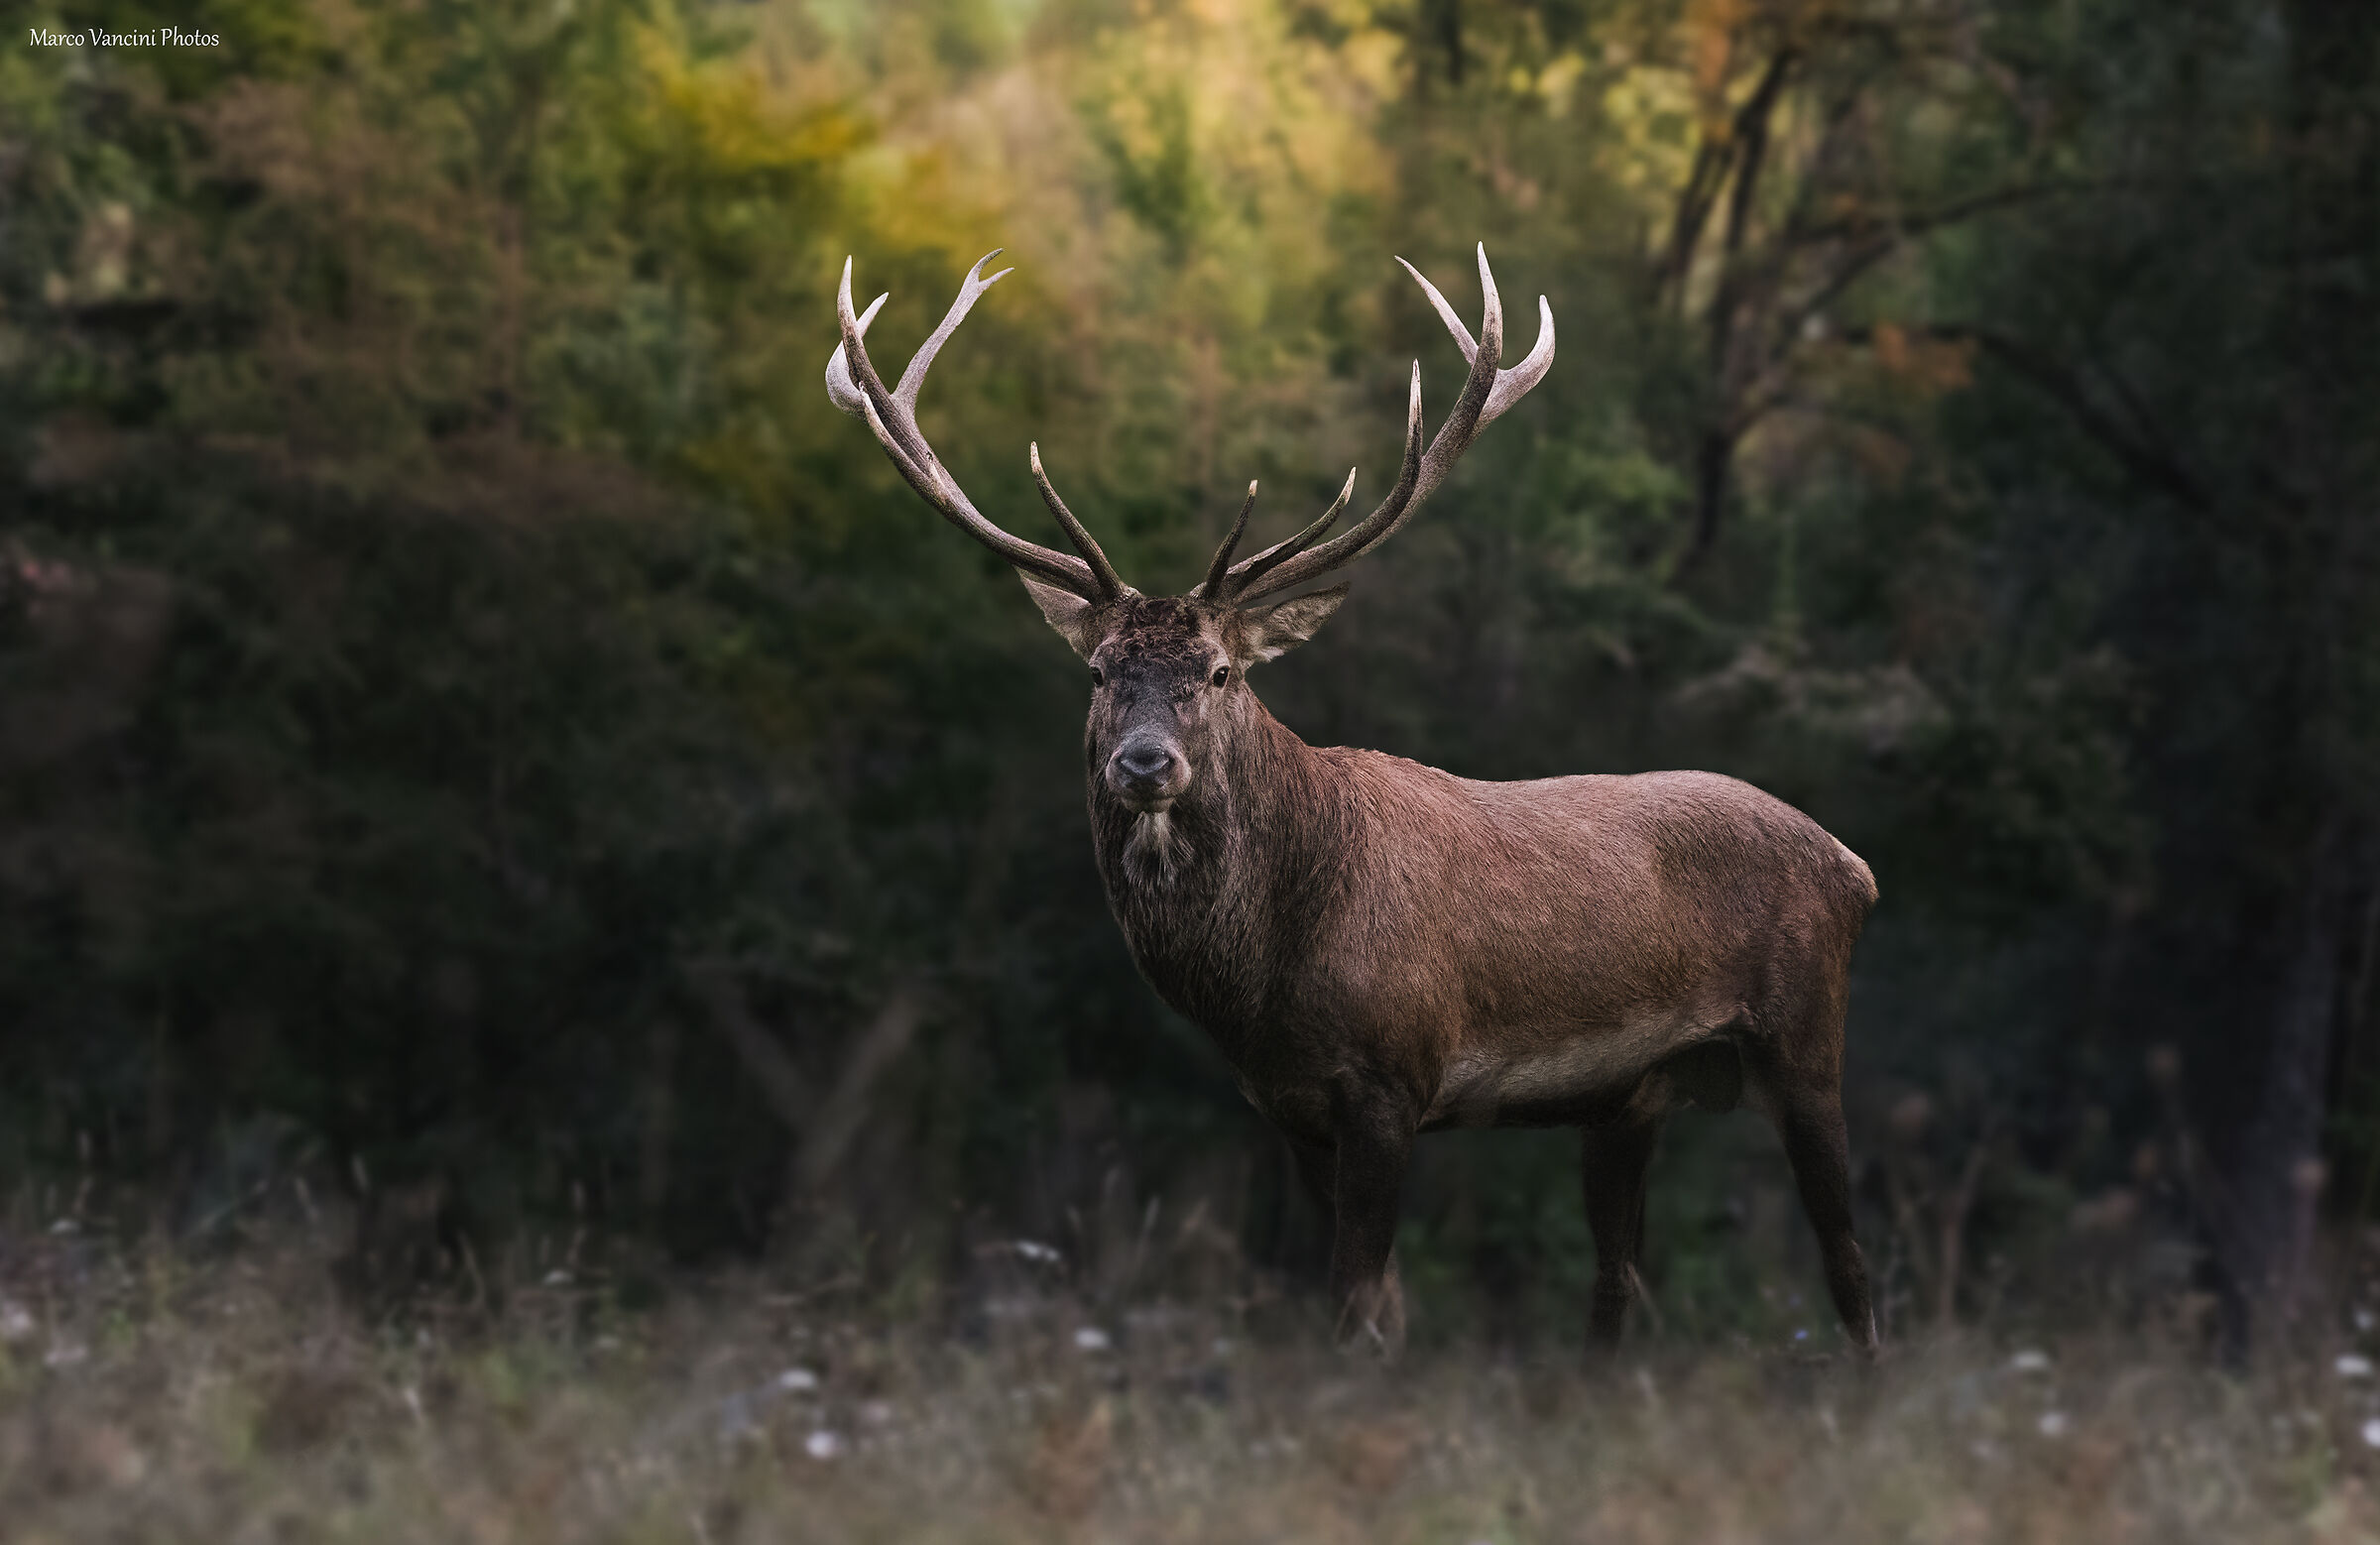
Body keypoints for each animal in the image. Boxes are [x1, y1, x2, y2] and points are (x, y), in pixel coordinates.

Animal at [827, 246, 1880, 1359]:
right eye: (1102, 671)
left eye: (1218, 672)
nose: (1145, 764)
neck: (1263, 981)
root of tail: (1857, 867)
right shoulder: (1290, 1110)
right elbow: (1376, 1313)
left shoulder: (1390, 1078)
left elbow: (1352, 1302)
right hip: (1631, 1098)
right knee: (1617, 1285)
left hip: (1806, 1040)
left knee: (1849, 1263)